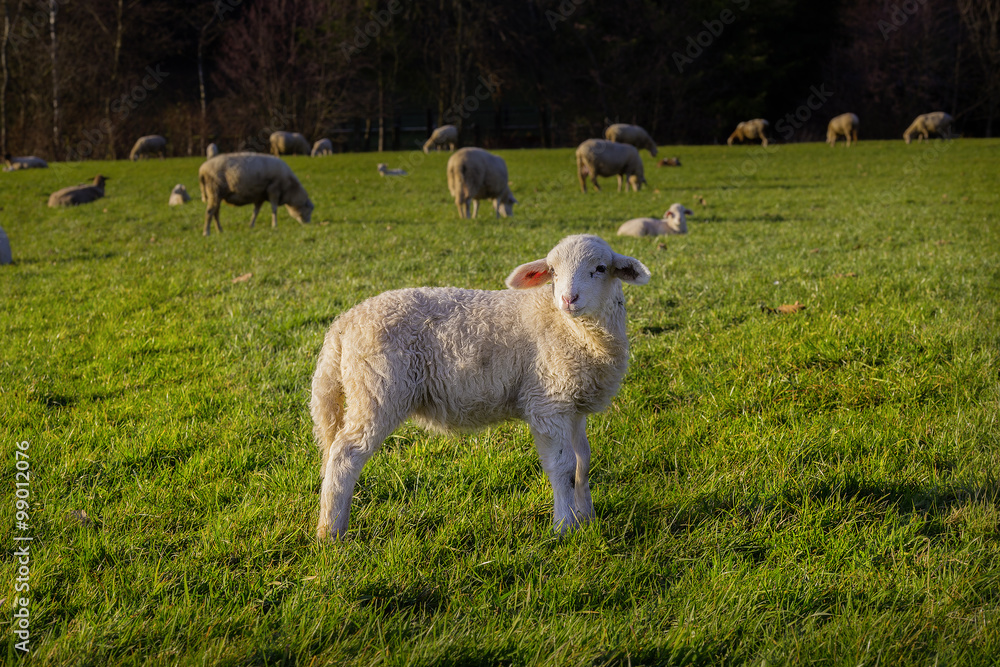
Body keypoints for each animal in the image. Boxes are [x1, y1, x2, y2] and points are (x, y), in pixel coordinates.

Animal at [310, 233, 651, 540]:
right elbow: (563, 466)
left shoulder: (574, 405)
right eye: (553, 271)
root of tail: (344, 323)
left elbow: (583, 461)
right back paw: (331, 533)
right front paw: (565, 527)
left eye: (601, 268)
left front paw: (587, 518)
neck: (572, 329)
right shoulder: (548, 401)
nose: (569, 299)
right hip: (376, 390)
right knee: (344, 455)